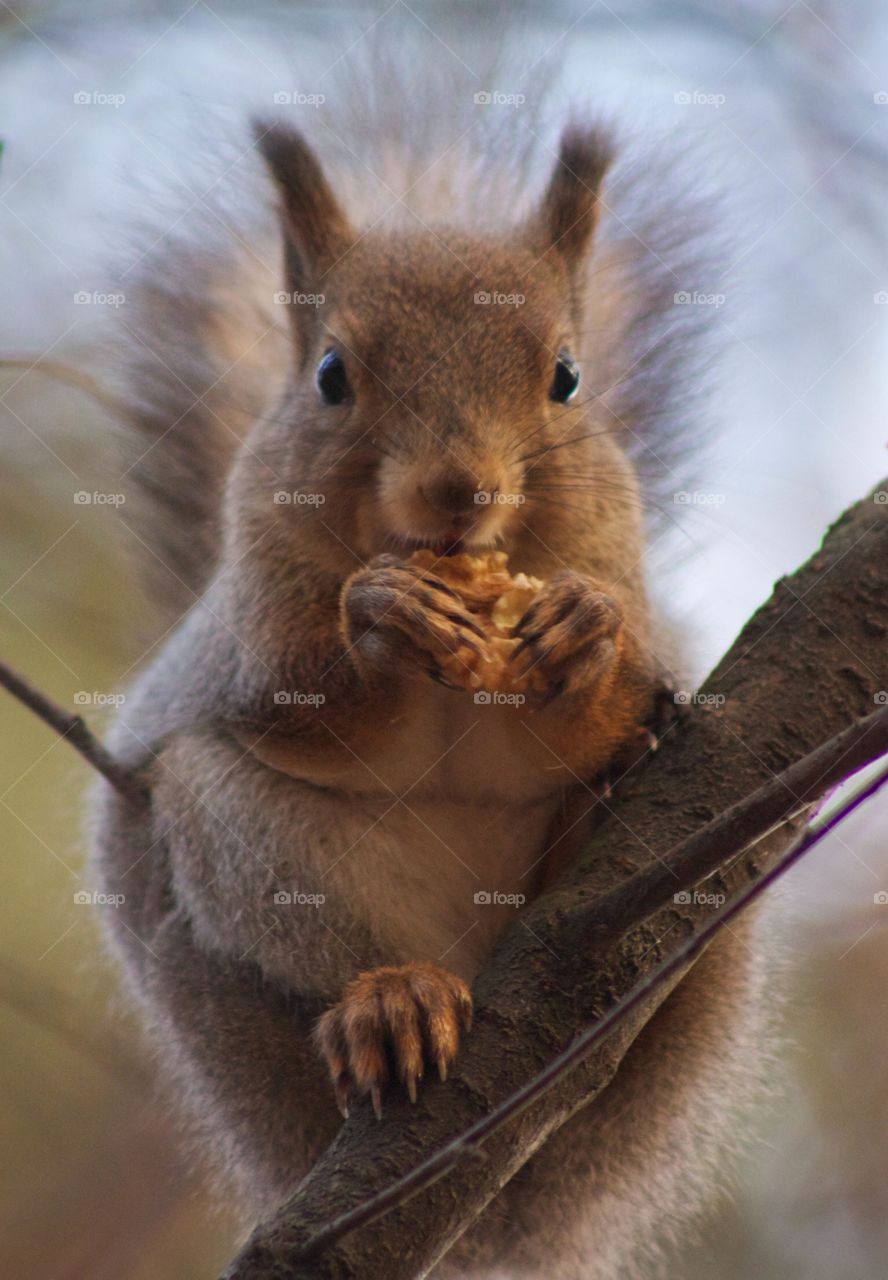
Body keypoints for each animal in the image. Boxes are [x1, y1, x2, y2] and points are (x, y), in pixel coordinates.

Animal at [91, 74, 766, 1280]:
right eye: (330, 375)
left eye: (567, 376)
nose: (461, 490)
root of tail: (497, 1218)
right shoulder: (251, 609)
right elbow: (303, 698)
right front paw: (381, 615)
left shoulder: (613, 550)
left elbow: (586, 702)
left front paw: (585, 638)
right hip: (237, 910)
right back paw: (389, 1003)